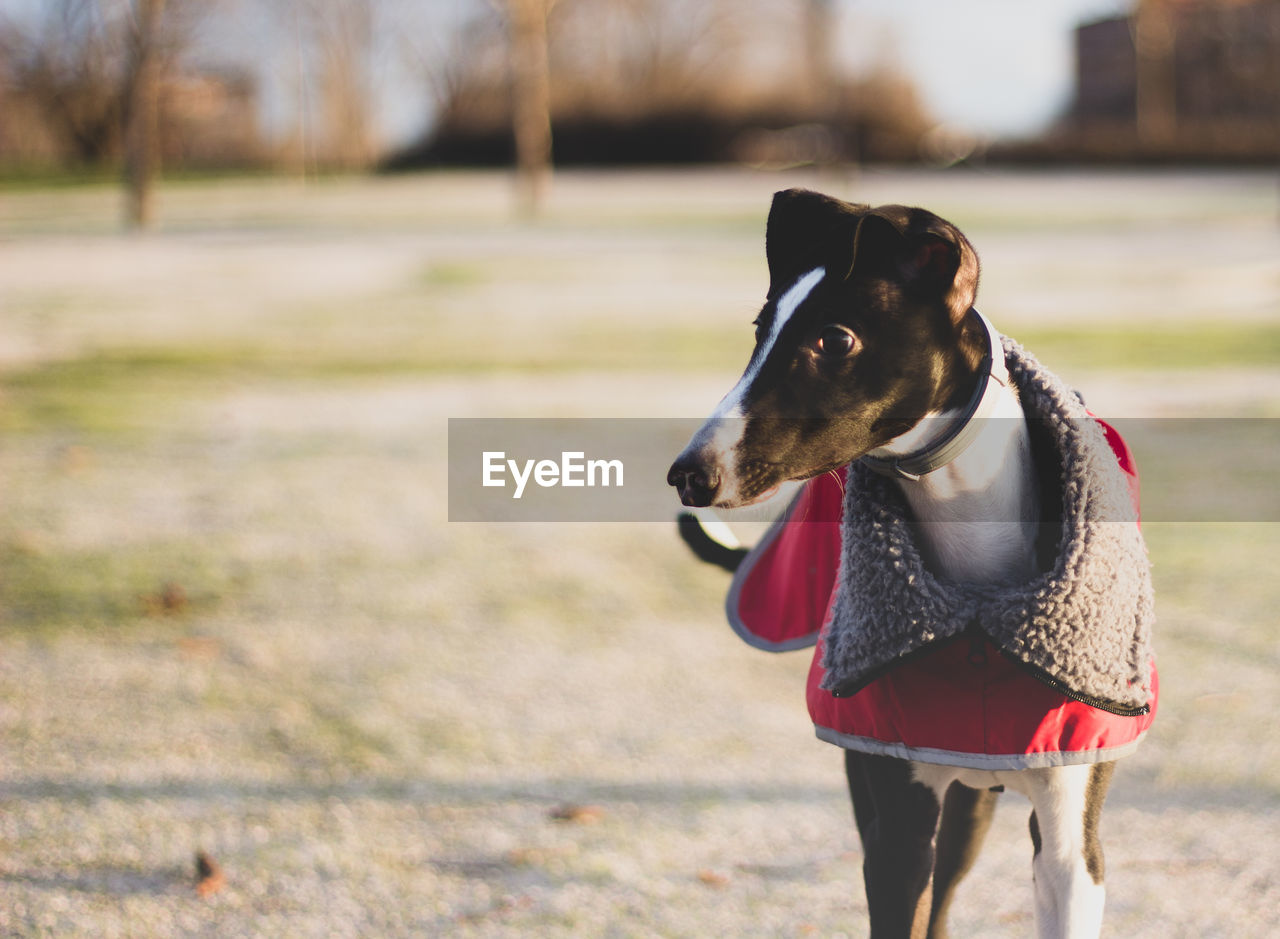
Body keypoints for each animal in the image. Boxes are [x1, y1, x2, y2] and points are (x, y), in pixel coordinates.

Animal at [670, 191, 1152, 939]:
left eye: (835, 339)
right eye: (759, 329)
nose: (687, 474)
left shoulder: (1073, 841)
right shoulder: (897, 824)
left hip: (973, 809)